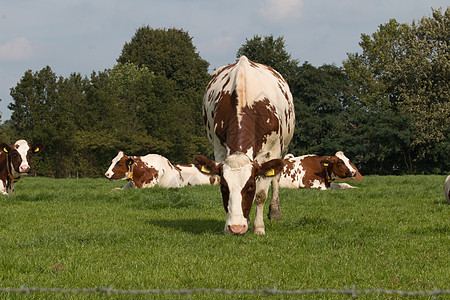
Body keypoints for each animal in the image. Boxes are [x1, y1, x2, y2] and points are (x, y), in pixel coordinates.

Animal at [194, 55, 296, 234]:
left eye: (250, 186)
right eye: (223, 187)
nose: (236, 228)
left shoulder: (271, 151)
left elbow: (261, 194)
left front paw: (259, 227)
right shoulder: (219, 149)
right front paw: (231, 225)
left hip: (284, 148)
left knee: (276, 178)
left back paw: (275, 212)